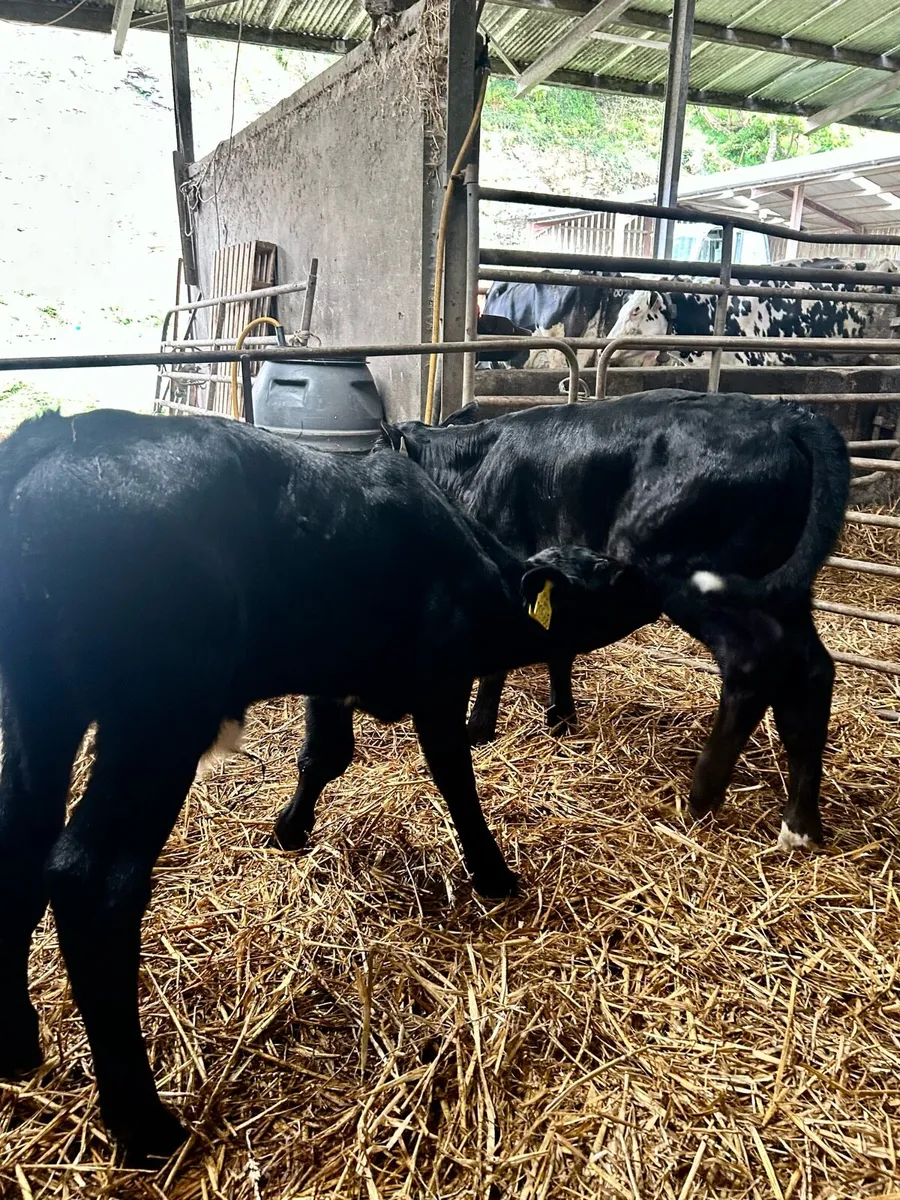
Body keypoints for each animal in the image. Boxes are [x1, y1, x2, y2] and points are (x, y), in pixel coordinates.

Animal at [0, 407, 653, 1165]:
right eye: (605, 573)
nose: (648, 572)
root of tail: (55, 434)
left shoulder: (331, 675)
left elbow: (324, 756)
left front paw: (289, 830)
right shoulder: (438, 677)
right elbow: (453, 776)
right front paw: (493, 872)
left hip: (39, 707)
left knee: (20, 844)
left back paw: (16, 1039)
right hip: (156, 720)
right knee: (92, 879)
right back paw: (145, 1125)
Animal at [378, 390, 849, 858]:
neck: (472, 466)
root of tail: (786, 415)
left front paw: (478, 728)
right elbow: (559, 650)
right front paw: (561, 719)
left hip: (688, 575)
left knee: (752, 662)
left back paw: (702, 794)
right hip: (781, 590)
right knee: (810, 670)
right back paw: (800, 824)